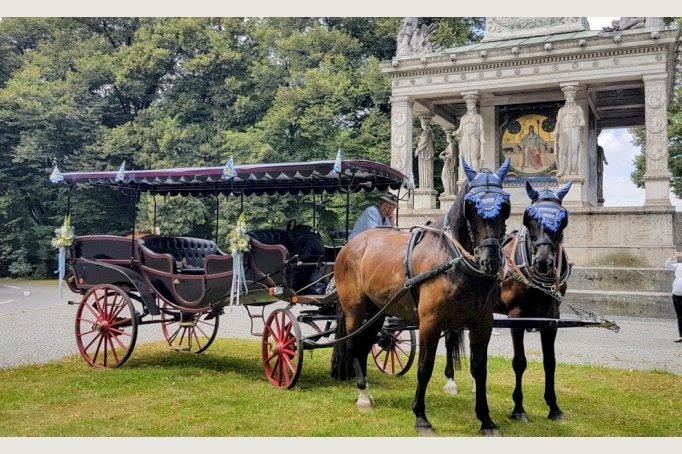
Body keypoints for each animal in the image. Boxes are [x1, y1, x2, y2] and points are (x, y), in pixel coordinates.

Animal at [330, 160, 510, 436]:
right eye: (472, 207)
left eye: (504, 207)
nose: (490, 261)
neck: (452, 258)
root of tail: (350, 245)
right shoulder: (430, 323)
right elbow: (424, 368)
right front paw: (421, 417)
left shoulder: (482, 324)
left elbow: (479, 370)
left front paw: (486, 420)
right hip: (355, 310)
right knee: (353, 345)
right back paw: (362, 396)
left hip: (376, 312)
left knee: (364, 345)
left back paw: (367, 392)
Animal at [444, 180, 572, 422]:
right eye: (529, 218)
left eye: (563, 220)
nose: (543, 262)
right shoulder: (517, 316)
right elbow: (519, 361)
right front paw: (519, 409)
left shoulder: (552, 318)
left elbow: (550, 362)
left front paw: (554, 407)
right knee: (448, 338)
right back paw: (450, 381)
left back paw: (474, 381)